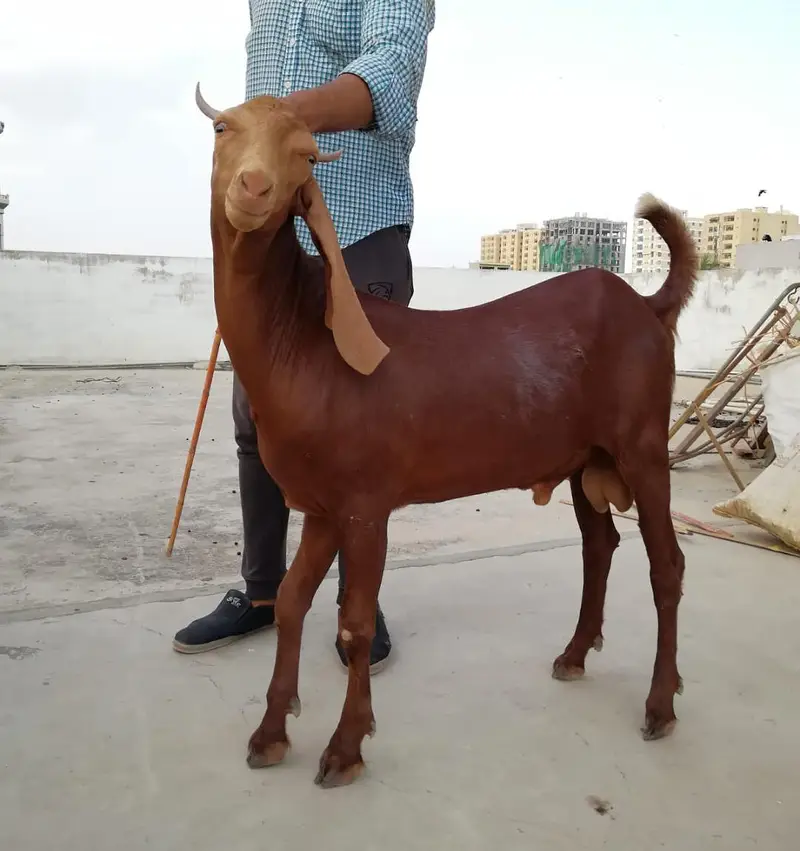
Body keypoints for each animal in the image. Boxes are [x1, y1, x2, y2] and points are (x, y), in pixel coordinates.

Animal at [194, 84, 696, 789]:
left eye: (304, 155)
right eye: (223, 131)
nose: (254, 186)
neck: (309, 342)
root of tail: (647, 308)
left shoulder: (366, 505)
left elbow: (353, 624)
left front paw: (345, 749)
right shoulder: (323, 506)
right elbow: (292, 602)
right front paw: (270, 734)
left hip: (643, 445)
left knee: (666, 564)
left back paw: (660, 705)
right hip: (584, 457)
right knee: (599, 547)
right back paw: (574, 655)